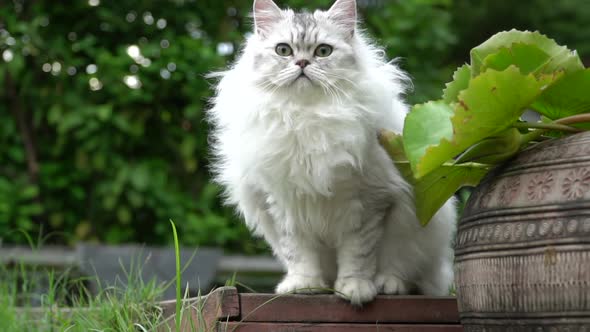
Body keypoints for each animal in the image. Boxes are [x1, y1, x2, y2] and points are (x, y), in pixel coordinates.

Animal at [208, 0, 458, 304]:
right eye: (283, 50)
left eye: (323, 51)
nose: (302, 63)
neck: (305, 118)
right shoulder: (284, 206)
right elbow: (300, 255)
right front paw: (304, 286)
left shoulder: (367, 203)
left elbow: (357, 256)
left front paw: (355, 289)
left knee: (410, 274)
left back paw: (388, 284)